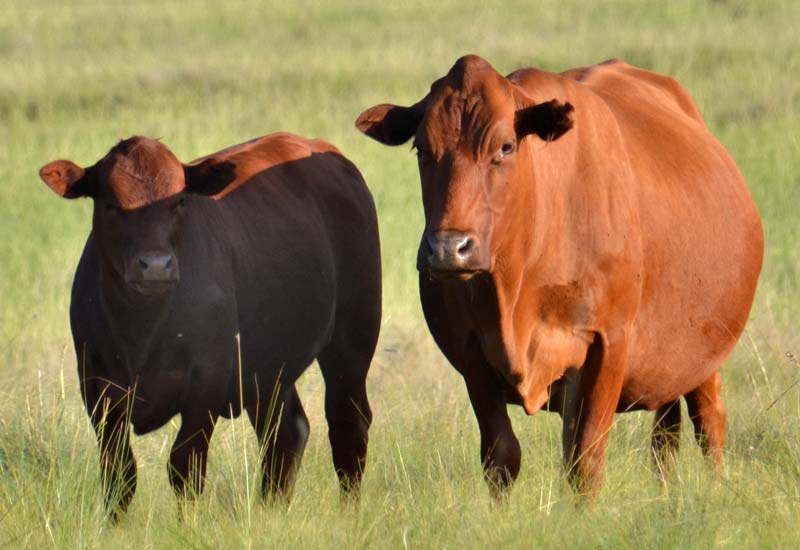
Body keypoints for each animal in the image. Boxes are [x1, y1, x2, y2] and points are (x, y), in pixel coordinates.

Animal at [39, 134, 382, 520]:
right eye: (111, 204)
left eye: (178, 202)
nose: (155, 266)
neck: (141, 329)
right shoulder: (98, 386)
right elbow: (119, 470)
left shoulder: (206, 381)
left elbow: (184, 466)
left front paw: (187, 525)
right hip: (269, 367)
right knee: (286, 432)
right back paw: (271, 510)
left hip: (352, 339)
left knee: (347, 423)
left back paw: (349, 510)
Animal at [356, 57, 764, 500]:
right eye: (422, 150)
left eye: (506, 147)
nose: (449, 248)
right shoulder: (472, 353)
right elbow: (502, 456)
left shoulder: (608, 343)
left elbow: (585, 459)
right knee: (666, 432)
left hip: (705, 351)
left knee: (708, 420)